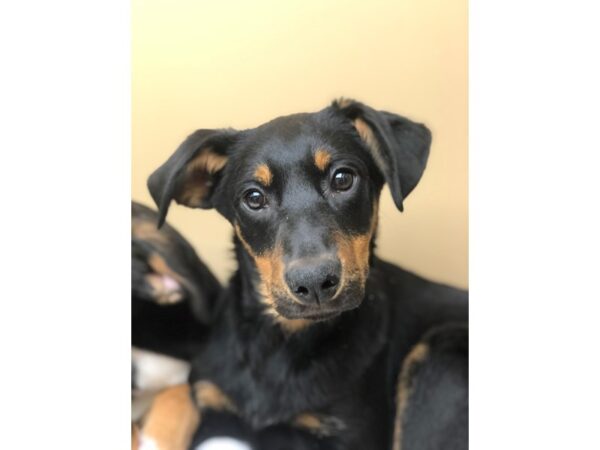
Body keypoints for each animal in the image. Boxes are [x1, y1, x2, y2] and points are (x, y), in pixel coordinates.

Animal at [146, 99, 468, 450]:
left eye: (343, 178)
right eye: (253, 197)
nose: (314, 283)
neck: (282, 342)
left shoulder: (349, 435)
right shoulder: (212, 405)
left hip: (441, 357)